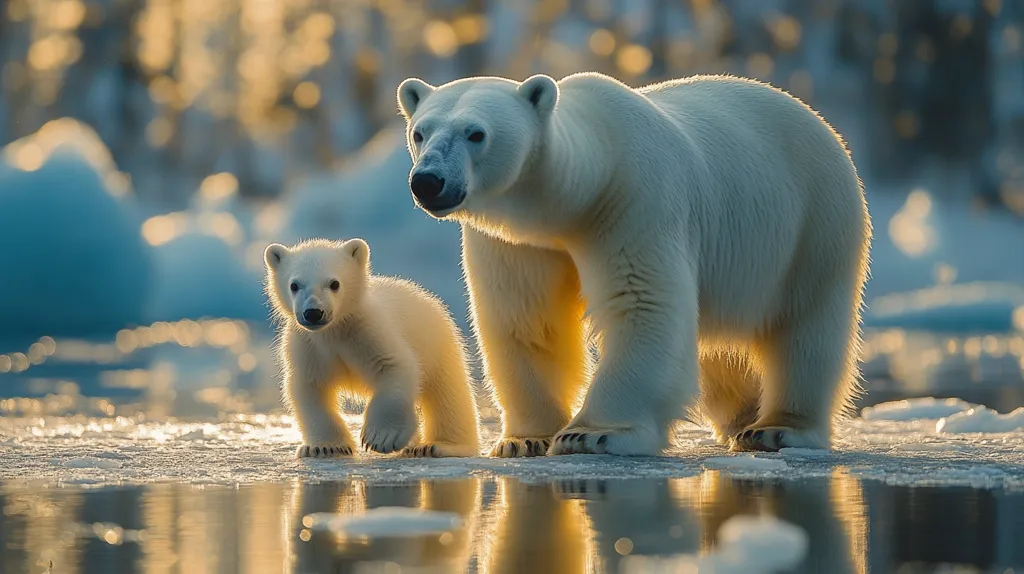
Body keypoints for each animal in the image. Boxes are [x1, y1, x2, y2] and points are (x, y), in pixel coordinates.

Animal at [263, 237, 481, 458]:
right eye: (294, 285)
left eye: (334, 283)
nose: (314, 313)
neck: (335, 330)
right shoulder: (308, 346)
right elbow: (310, 388)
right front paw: (324, 447)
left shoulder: (368, 330)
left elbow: (392, 366)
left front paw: (381, 437)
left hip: (438, 346)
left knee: (448, 396)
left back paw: (438, 446)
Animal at [395, 72, 872, 457]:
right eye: (420, 132)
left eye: (476, 133)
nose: (428, 181)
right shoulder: (519, 242)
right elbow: (527, 320)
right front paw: (525, 439)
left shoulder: (635, 199)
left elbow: (642, 303)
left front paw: (589, 434)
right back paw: (741, 418)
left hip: (813, 224)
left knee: (806, 326)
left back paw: (775, 428)